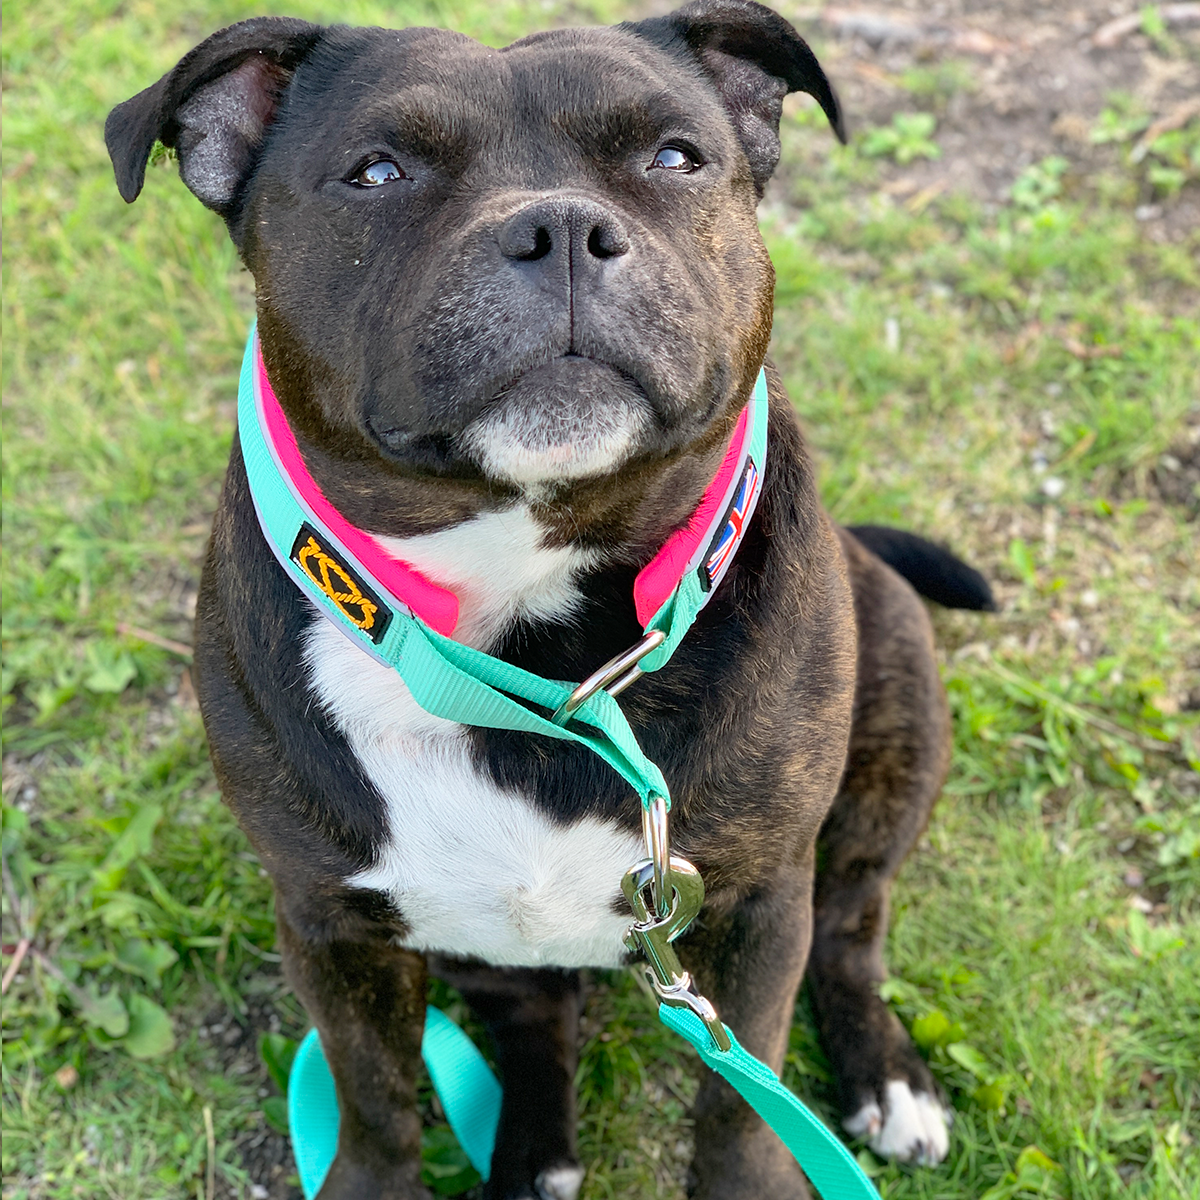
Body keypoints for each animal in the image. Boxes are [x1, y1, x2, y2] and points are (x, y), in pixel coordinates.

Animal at [108, 4, 993, 1195]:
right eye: (377, 172)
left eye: (675, 157)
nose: (564, 228)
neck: (530, 646)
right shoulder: (330, 925)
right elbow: (374, 1102)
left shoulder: (761, 906)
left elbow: (741, 1098)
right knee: (534, 1013)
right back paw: (534, 1155)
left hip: (888, 721)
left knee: (851, 928)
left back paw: (886, 1077)